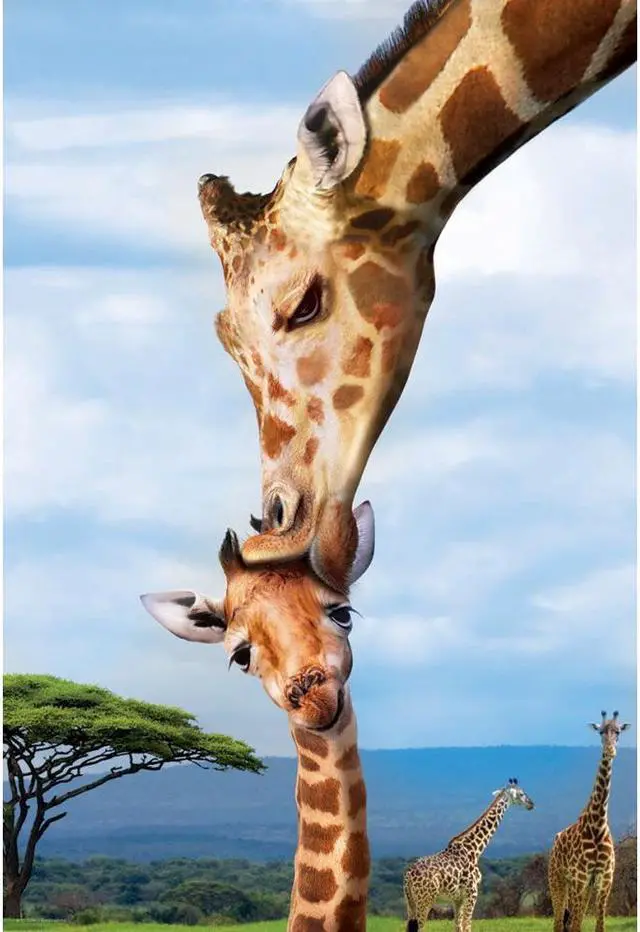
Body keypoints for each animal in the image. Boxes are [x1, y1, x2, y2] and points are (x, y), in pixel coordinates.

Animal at [403, 777, 535, 931]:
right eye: (521, 794)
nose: (531, 804)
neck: (474, 849)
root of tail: (408, 876)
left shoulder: (457, 898)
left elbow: (458, 926)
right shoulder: (472, 893)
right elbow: (467, 926)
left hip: (410, 902)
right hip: (425, 900)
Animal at [548, 710, 631, 932]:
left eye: (618, 731)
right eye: (600, 731)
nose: (610, 751)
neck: (598, 824)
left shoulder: (604, 879)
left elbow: (599, 926)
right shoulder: (580, 878)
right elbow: (576, 926)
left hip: (582, 888)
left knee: (568, 922)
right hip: (558, 880)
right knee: (559, 922)